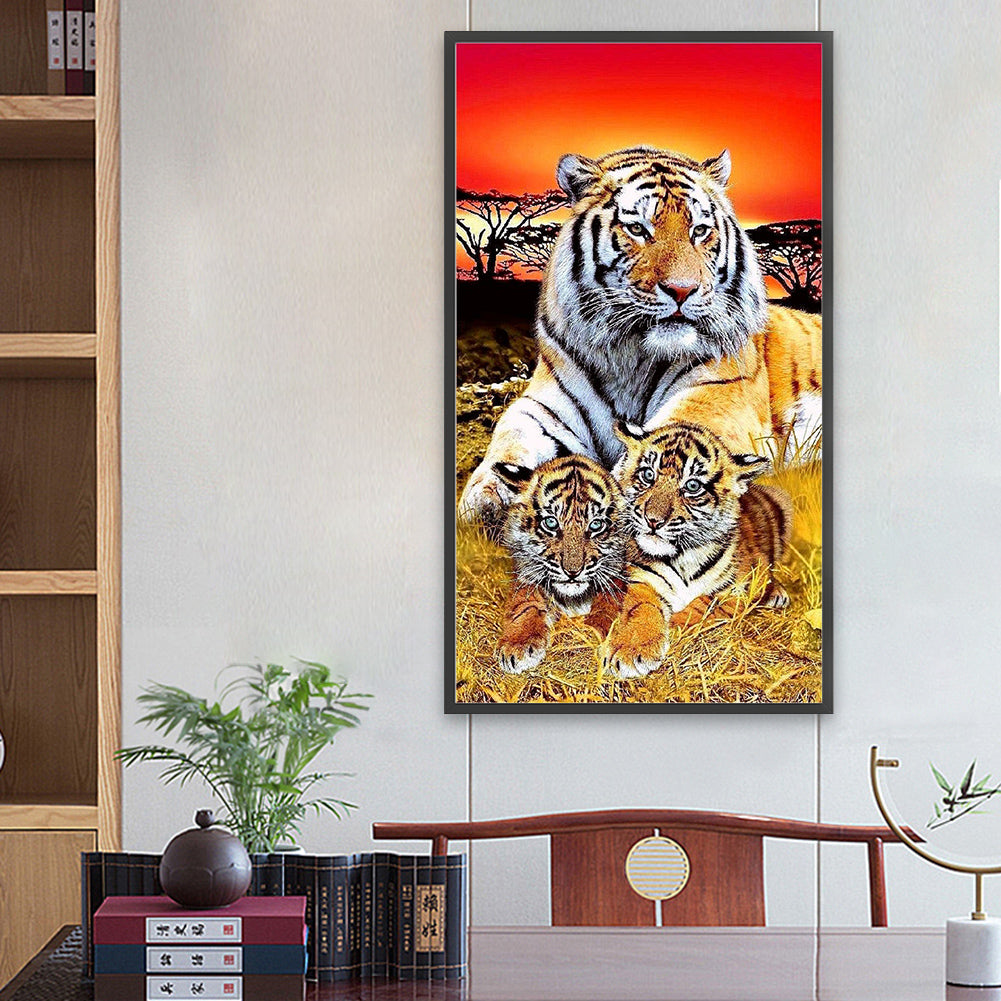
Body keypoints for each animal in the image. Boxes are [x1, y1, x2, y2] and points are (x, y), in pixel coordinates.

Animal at [458, 145, 821, 525]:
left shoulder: (718, 395)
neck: (630, 355)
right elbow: (509, 441)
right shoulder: (543, 407)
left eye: (700, 230)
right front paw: (487, 498)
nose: (682, 290)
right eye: (637, 229)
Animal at [494, 455, 627, 674]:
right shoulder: (526, 575)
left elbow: (608, 602)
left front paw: (593, 632)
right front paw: (517, 644)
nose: (572, 572)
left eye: (596, 525)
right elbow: (525, 604)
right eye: (551, 523)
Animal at [599, 420, 793, 678]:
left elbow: (706, 603)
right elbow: (641, 609)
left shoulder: (740, 587)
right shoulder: (644, 581)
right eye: (648, 475)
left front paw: (675, 624)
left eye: (692, 486)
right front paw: (630, 649)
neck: (682, 557)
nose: (653, 521)